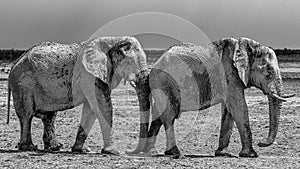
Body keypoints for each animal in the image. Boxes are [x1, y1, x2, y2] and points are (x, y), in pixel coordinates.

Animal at [7, 36, 148, 154]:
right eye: (129, 63)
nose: (130, 151)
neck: (113, 40)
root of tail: (15, 63)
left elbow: (91, 109)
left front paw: (80, 150)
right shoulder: (89, 74)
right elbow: (102, 106)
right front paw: (112, 152)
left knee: (49, 116)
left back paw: (54, 148)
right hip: (23, 84)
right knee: (27, 115)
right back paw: (29, 148)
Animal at [127, 37, 294, 157]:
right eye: (269, 73)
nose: (261, 143)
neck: (248, 47)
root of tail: (153, 67)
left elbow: (228, 111)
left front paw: (223, 153)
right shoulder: (229, 75)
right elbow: (239, 108)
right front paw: (251, 154)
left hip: (161, 86)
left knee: (159, 115)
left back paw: (149, 152)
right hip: (165, 83)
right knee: (169, 116)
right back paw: (174, 152)